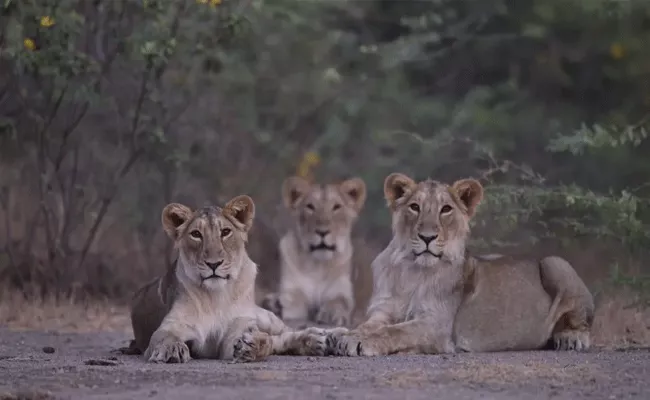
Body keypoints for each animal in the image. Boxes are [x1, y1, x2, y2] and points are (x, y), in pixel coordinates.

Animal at [128, 195, 330, 364]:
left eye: (225, 232)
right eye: (196, 234)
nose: (214, 264)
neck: (216, 296)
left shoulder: (237, 328)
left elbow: (266, 342)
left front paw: (253, 345)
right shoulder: (173, 325)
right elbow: (163, 336)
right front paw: (172, 348)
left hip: (263, 315)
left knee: (285, 332)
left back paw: (322, 338)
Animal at [260, 177, 368, 326]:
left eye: (336, 207)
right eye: (310, 206)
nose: (322, 232)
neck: (318, 266)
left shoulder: (341, 291)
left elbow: (339, 302)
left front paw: (330, 315)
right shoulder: (293, 291)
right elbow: (295, 307)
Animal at [324, 173, 592, 354]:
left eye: (446, 209)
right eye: (414, 207)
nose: (428, 237)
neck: (413, 270)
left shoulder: (437, 325)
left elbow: (396, 331)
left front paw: (358, 341)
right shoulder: (383, 310)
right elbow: (369, 325)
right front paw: (344, 334)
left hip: (555, 263)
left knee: (582, 322)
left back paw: (570, 338)